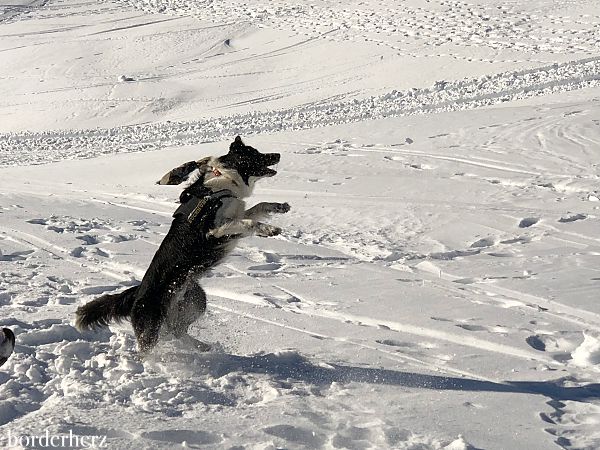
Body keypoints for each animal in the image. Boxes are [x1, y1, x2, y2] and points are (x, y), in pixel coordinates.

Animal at [75, 135, 290, 354]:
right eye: (255, 153)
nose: (278, 154)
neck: (224, 179)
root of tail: (136, 294)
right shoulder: (214, 231)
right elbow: (249, 222)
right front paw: (269, 229)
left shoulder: (235, 216)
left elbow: (258, 208)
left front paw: (279, 207)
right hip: (151, 328)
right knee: (152, 346)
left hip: (197, 300)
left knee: (178, 330)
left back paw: (201, 346)